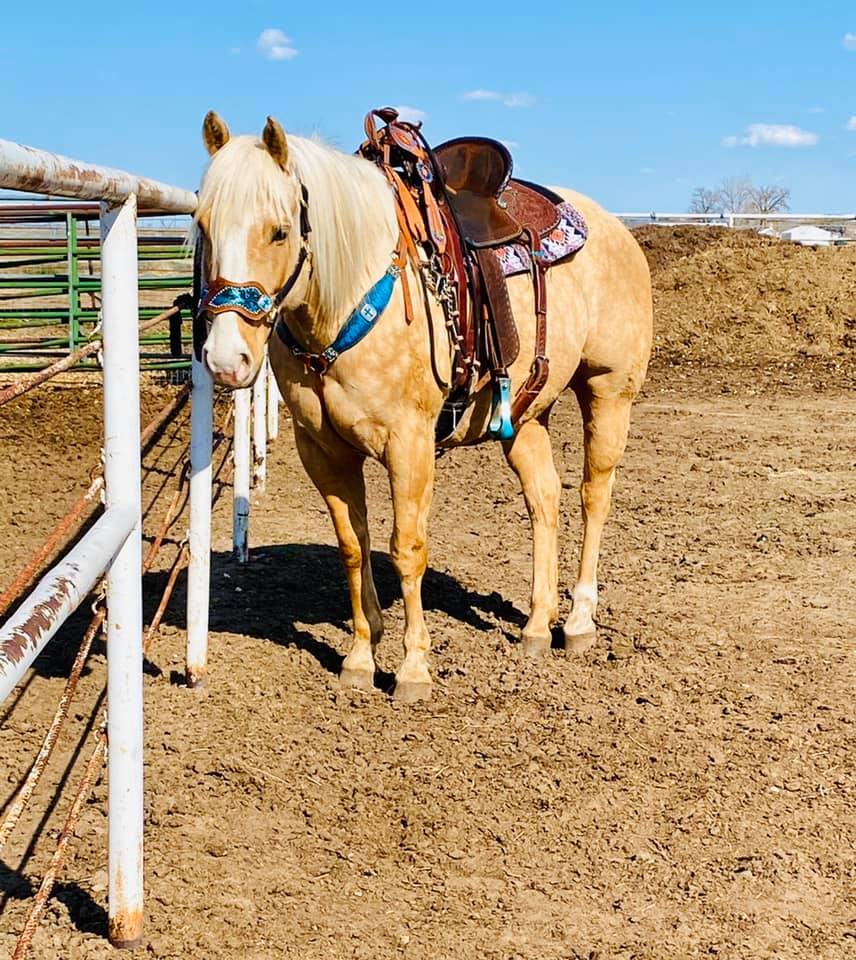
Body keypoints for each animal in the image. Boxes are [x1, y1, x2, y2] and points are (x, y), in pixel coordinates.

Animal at [194, 112, 652, 702]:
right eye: (203, 225)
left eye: (279, 230)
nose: (227, 359)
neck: (348, 296)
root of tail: (615, 227)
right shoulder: (322, 449)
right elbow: (352, 544)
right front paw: (360, 657)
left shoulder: (408, 444)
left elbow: (407, 547)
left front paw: (413, 668)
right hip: (527, 415)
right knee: (544, 500)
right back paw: (535, 624)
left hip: (608, 391)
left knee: (594, 496)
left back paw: (577, 621)